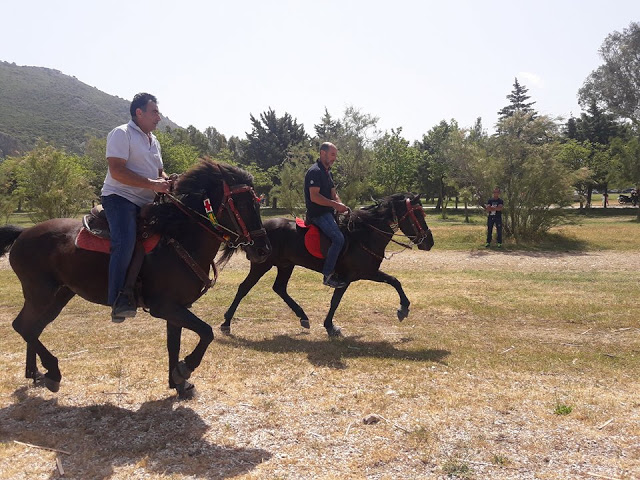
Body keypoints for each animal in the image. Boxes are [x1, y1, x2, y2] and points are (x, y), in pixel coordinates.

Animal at [0, 161, 270, 398]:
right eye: (243, 204)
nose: (262, 250)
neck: (177, 238)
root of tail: (24, 233)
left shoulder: (178, 307)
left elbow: (174, 343)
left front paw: (178, 383)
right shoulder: (165, 306)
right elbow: (206, 332)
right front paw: (185, 368)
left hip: (59, 295)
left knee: (33, 328)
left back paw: (37, 373)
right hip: (40, 294)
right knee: (23, 326)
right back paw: (53, 372)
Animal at [220, 192, 436, 338]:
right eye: (418, 214)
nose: (429, 242)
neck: (364, 234)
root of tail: (259, 230)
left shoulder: (366, 272)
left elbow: (394, 281)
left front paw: (403, 307)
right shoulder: (354, 275)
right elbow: (336, 300)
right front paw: (330, 326)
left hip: (285, 265)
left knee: (279, 288)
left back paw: (303, 317)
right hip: (262, 265)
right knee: (244, 288)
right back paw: (227, 322)